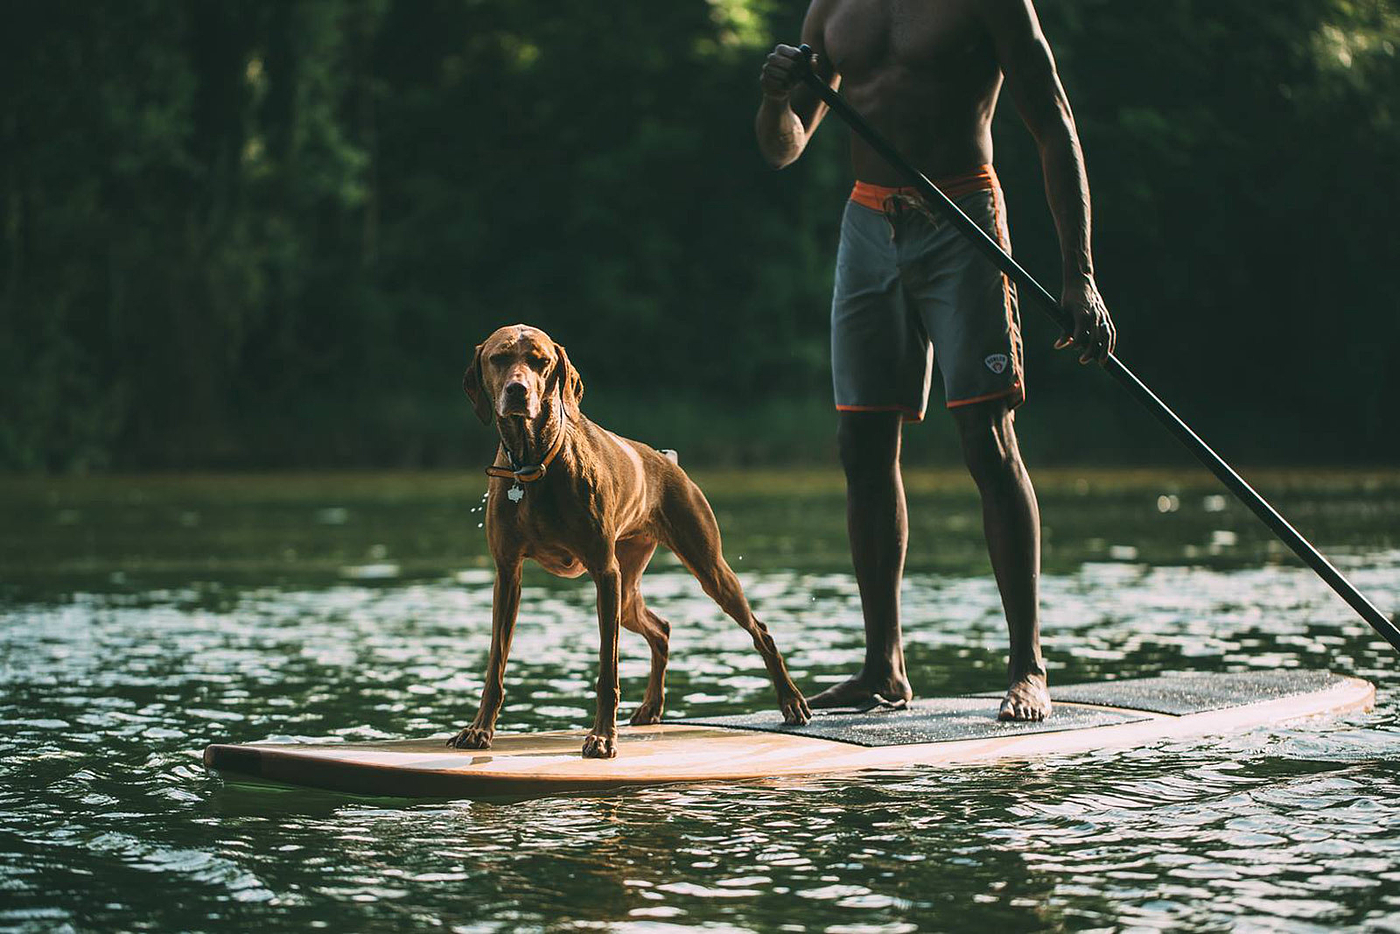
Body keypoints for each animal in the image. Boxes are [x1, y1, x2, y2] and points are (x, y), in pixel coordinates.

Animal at [450, 324, 812, 756]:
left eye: (541, 361)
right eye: (499, 358)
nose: (518, 391)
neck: (533, 465)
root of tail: (666, 460)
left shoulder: (604, 573)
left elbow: (608, 669)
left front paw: (603, 736)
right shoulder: (507, 574)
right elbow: (495, 665)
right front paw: (479, 729)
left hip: (707, 568)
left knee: (761, 631)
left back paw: (791, 701)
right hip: (628, 588)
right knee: (662, 629)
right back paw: (652, 706)